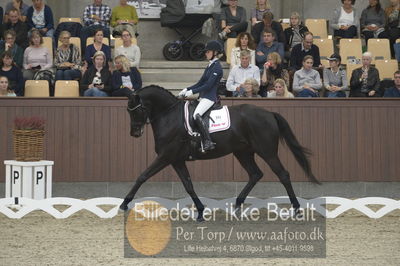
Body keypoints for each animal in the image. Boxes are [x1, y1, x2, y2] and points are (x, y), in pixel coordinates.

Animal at [119, 85, 318, 220]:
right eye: (128, 111)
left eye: (136, 110)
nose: (134, 133)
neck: (169, 116)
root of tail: (269, 113)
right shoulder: (177, 160)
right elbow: (188, 185)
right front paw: (200, 211)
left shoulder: (165, 156)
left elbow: (142, 176)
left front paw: (124, 203)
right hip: (243, 152)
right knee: (255, 174)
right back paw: (236, 206)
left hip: (267, 152)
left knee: (283, 174)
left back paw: (297, 209)